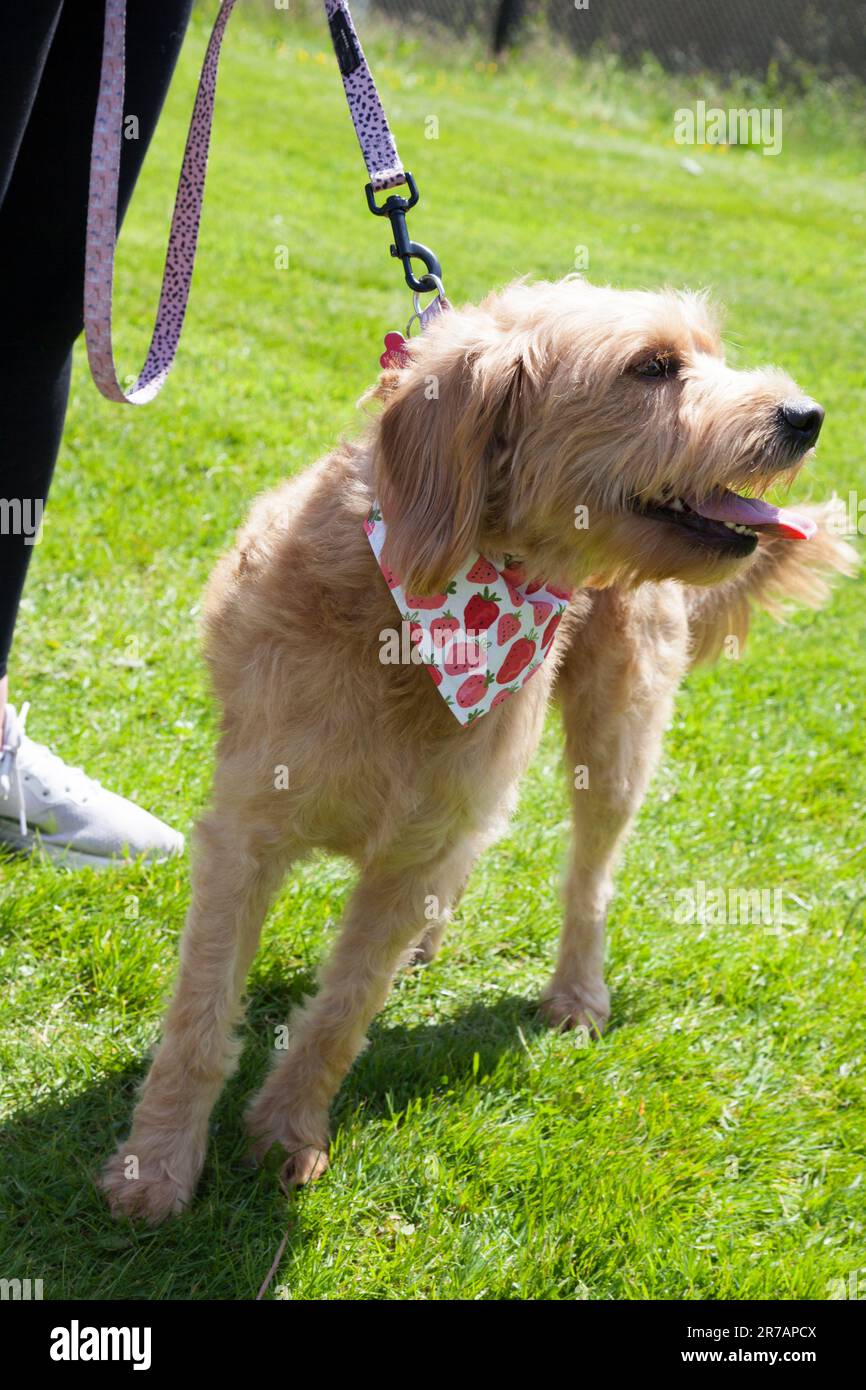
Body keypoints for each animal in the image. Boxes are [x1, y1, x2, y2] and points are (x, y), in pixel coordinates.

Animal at [101, 273, 856, 1217]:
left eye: (708, 353)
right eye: (652, 367)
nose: (808, 415)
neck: (424, 610)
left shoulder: (413, 849)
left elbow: (344, 1009)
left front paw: (288, 1130)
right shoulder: (247, 832)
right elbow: (202, 1018)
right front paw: (157, 1166)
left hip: (616, 739)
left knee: (589, 877)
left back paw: (576, 990)